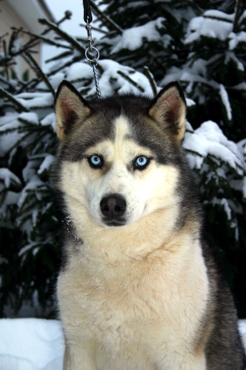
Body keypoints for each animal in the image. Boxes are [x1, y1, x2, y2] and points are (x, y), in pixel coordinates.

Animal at [52, 81, 245, 370]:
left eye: (141, 161)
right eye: (96, 159)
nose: (112, 205)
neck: (122, 258)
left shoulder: (180, 354)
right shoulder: (78, 348)